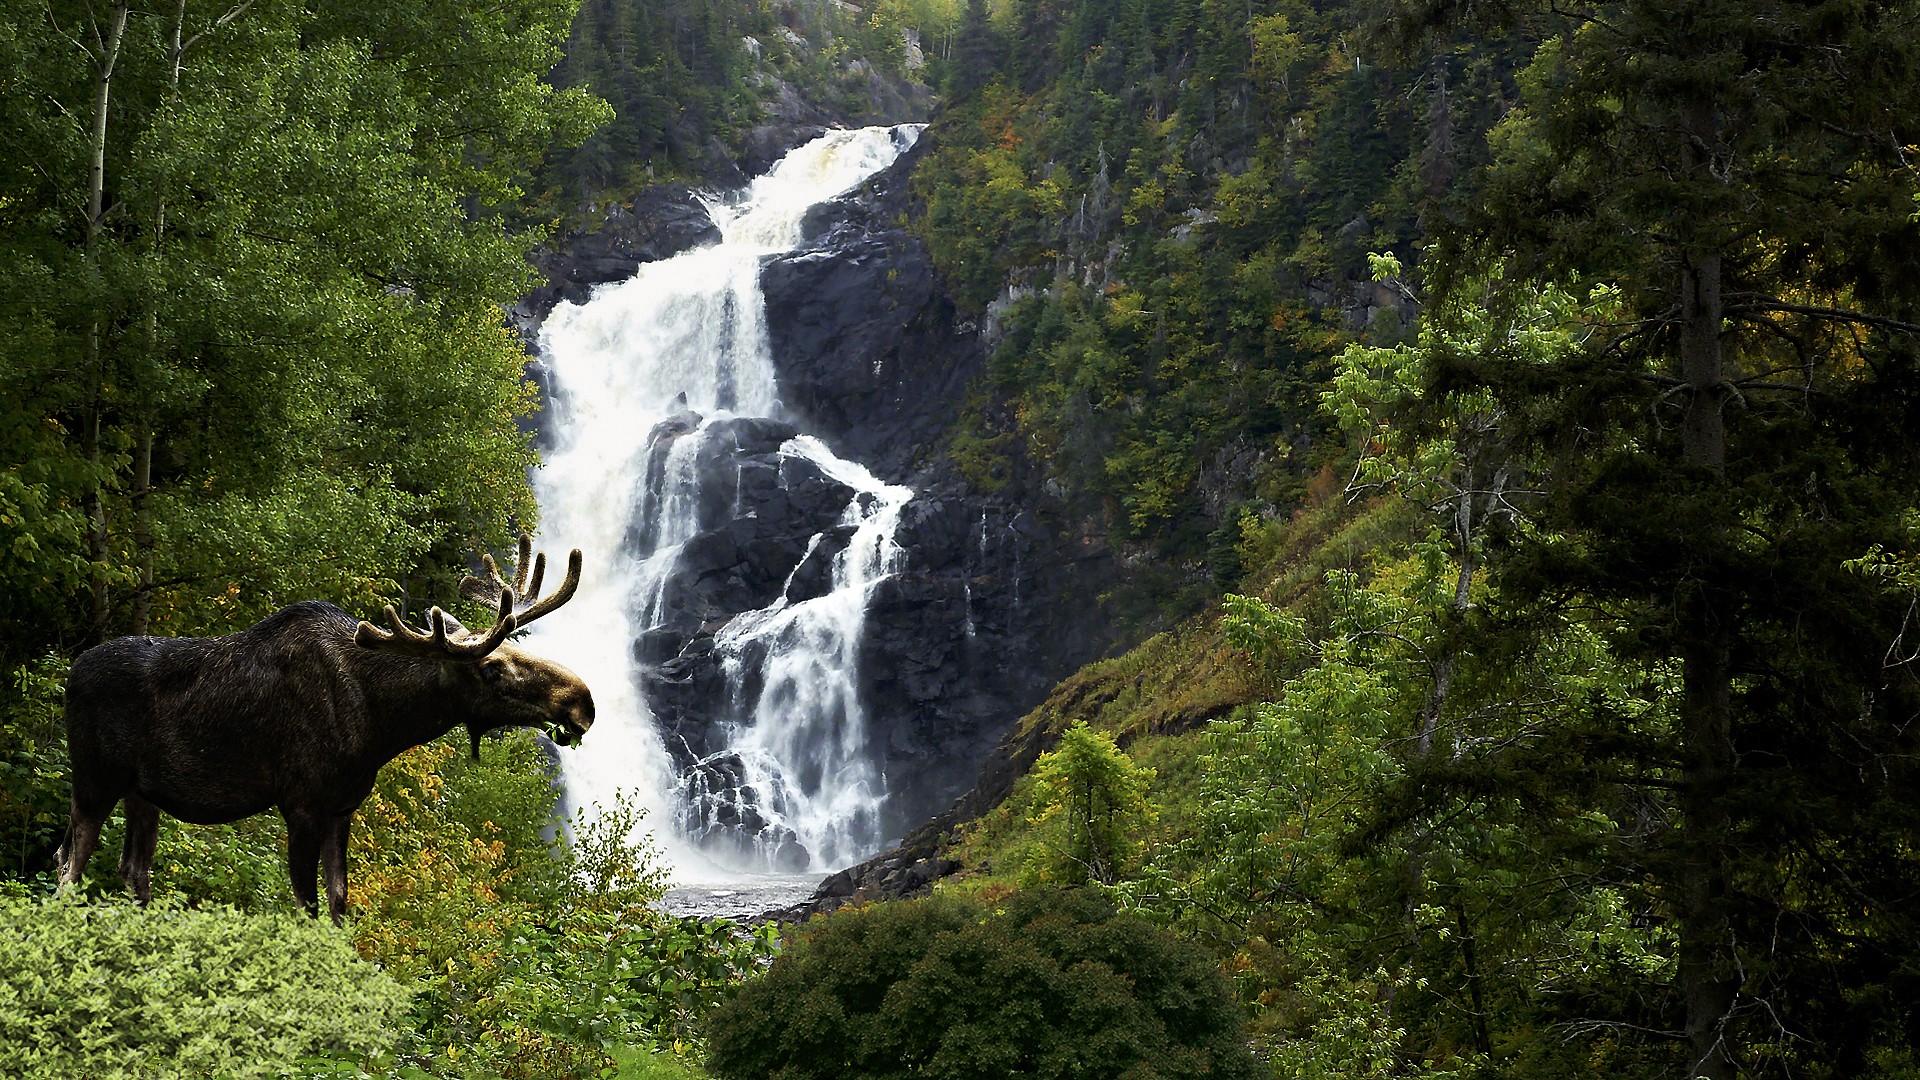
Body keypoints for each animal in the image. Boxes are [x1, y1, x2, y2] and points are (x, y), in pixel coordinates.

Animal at [56, 538, 591, 914]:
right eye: (492, 668)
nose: (582, 702)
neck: (382, 723)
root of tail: (71, 675)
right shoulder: (301, 804)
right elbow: (307, 907)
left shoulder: (341, 807)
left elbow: (338, 904)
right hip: (94, 780)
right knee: (68, 863)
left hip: (143, 792)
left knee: (132, 870)